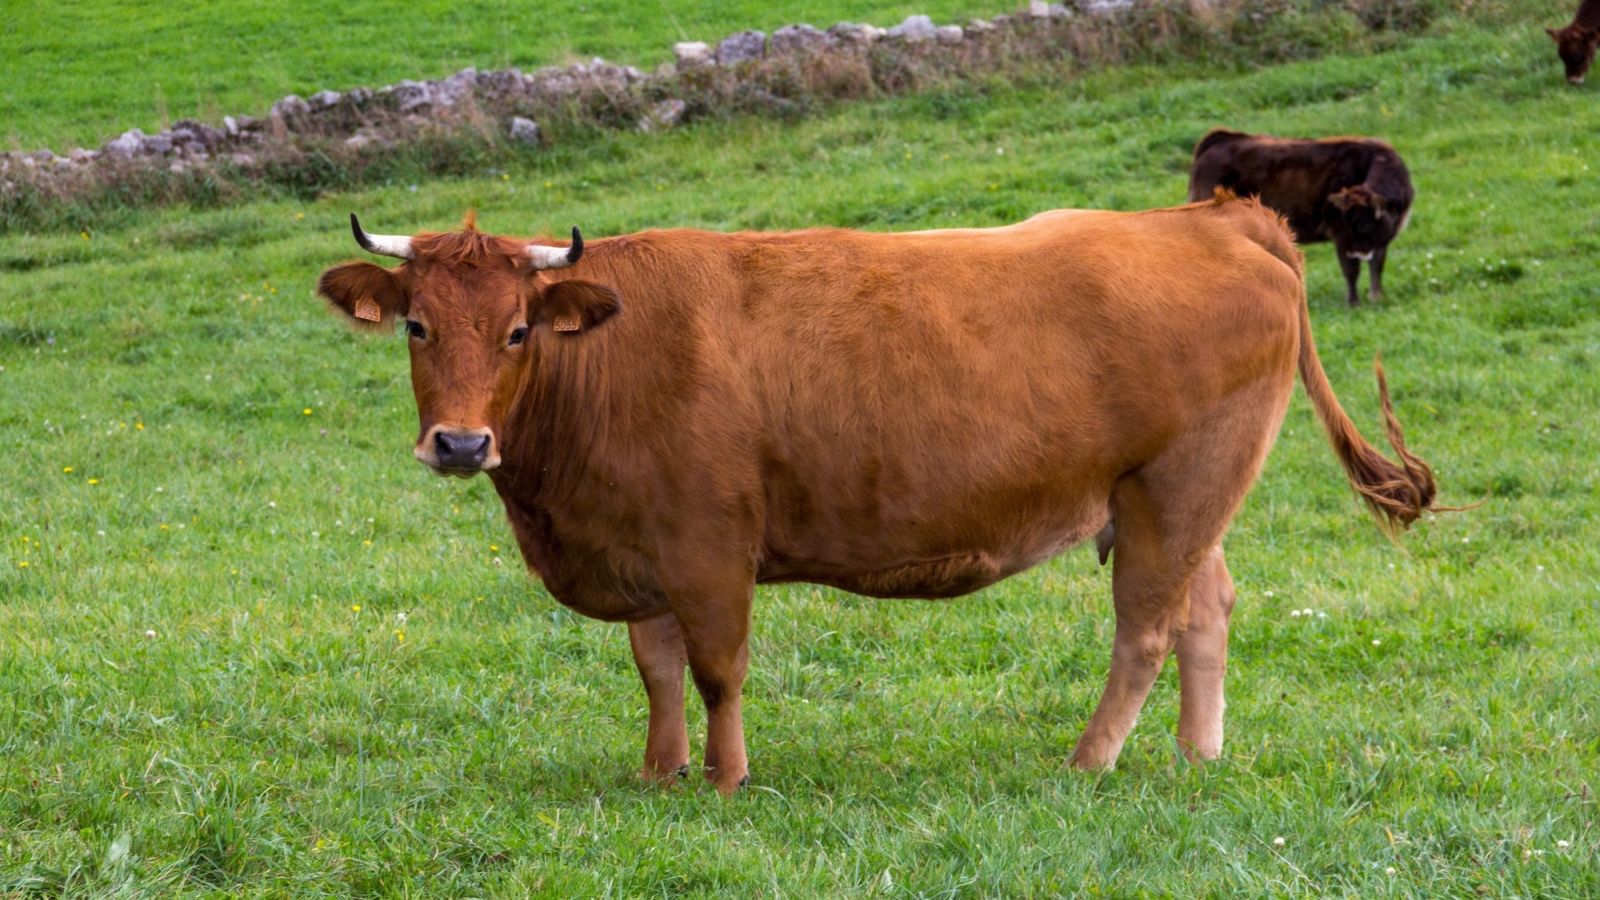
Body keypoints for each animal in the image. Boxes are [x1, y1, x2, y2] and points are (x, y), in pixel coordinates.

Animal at [315, 196, 1442, 794]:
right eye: (416, 325)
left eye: (517, 331)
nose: (461, 442)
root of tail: (1210, 218)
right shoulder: (645, 552)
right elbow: (657, 669)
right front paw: (659, 773)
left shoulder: (709, 547)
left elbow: (717, 669)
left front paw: (724, 780)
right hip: (1176, 504)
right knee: (1206, 612)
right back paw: (1194, 758)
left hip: (1177, 488)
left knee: (1148, 631)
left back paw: (1087, 761)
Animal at [1187, 129, 1415, 308]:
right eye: (1348, 221)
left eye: (1363, 223)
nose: (1357, 252)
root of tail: (1221, 140)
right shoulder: (1340, 236)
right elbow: (1352, 271)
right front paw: (1354, 303)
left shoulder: (1380, 241)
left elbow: (1377, 265)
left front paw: (1376, 297)